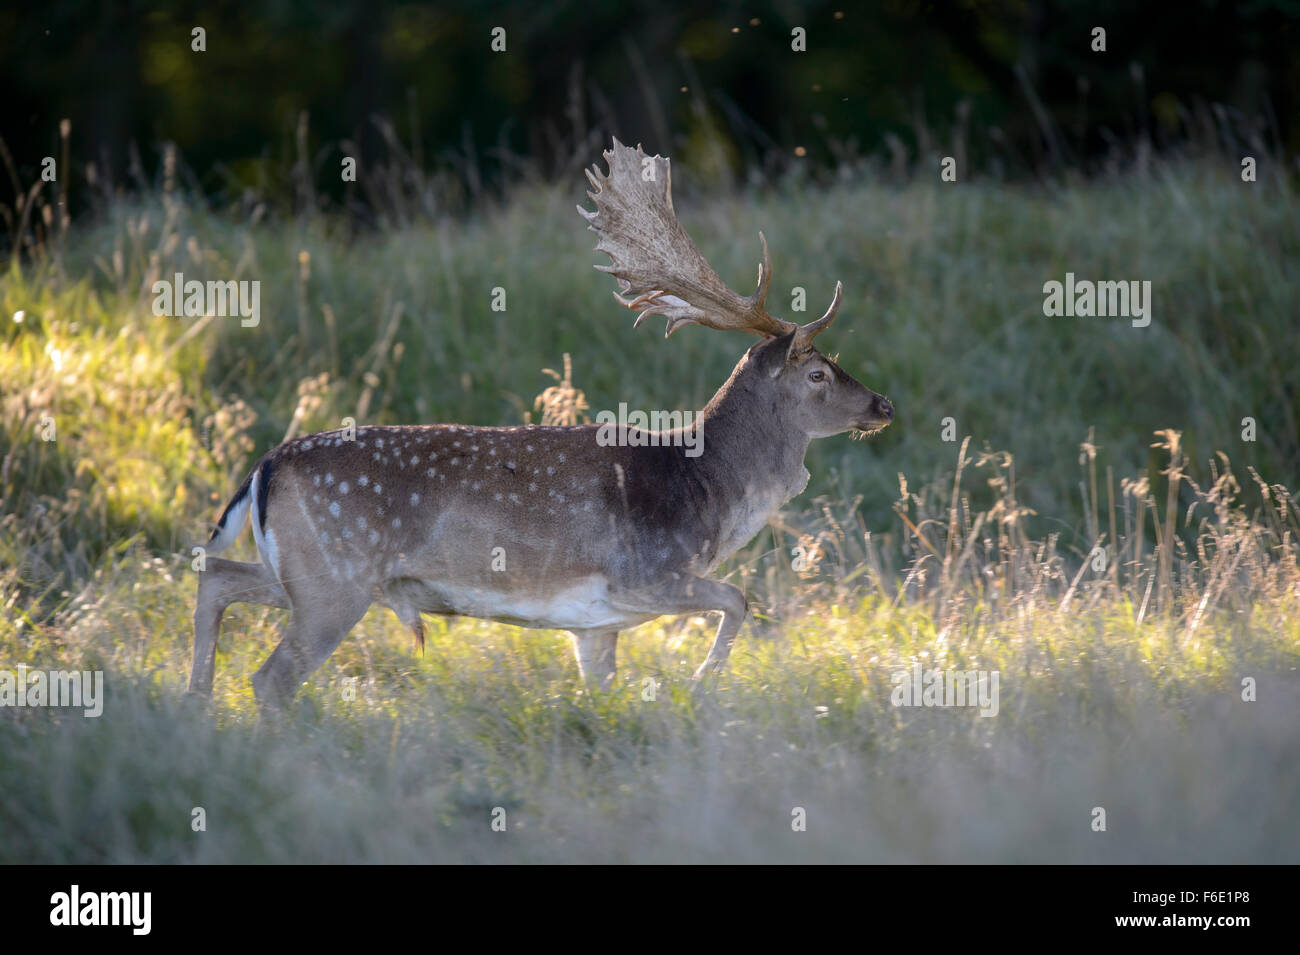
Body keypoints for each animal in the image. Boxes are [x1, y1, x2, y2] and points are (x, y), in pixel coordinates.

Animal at [188, 141, 889, 712]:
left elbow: (604, 690)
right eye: (818, 373)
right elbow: (741, 598)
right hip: (336, 578)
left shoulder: (596, 624)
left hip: (301, 575)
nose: (882, 405)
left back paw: (196, 708)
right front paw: (699, 687)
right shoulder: (645, 573)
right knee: (270, 678)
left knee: (215, 576)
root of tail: (263, 468)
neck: (705, 493)